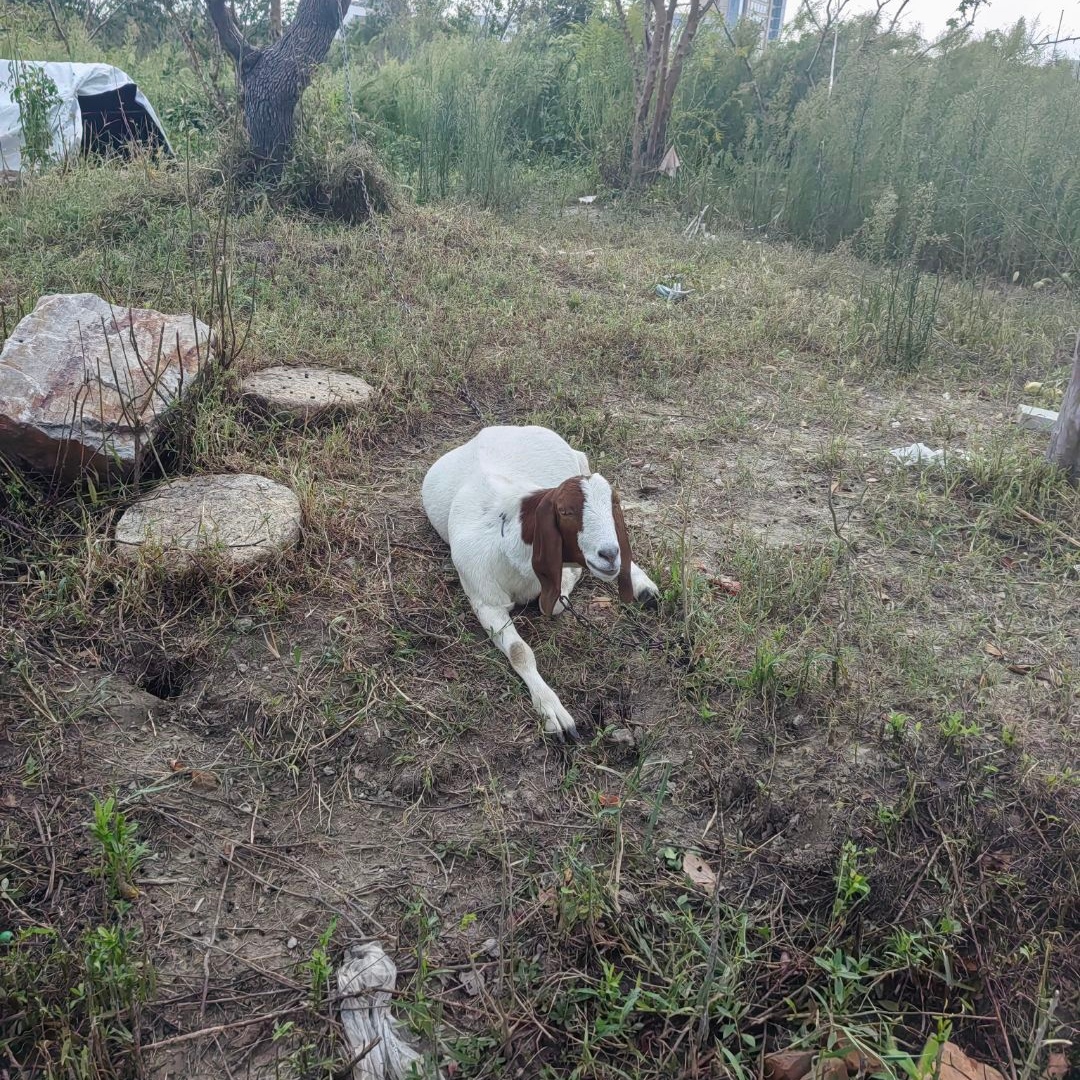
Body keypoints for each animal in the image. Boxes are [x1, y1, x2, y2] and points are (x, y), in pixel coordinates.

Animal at [422, 425, 660, 740]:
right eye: (565, 511)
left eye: (614, 508)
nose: (609, 554)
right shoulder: (485, 601)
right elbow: (519, 651)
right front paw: (553, 712)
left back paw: (644, 588)